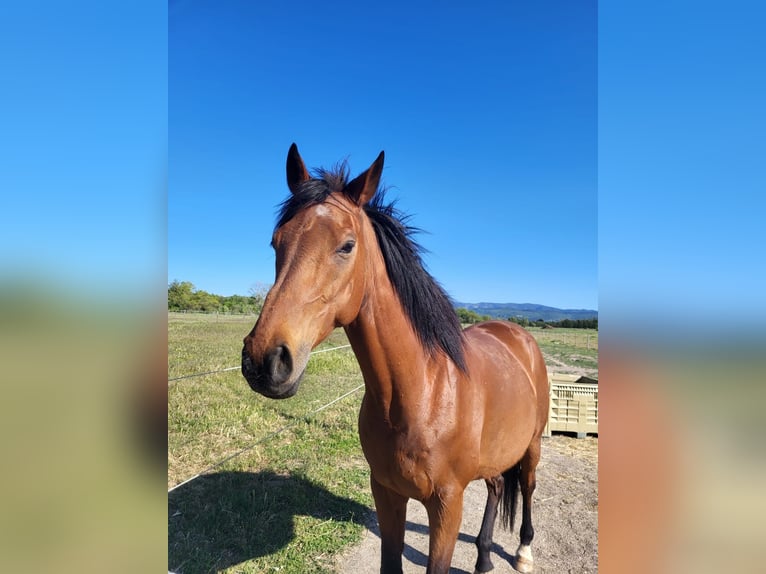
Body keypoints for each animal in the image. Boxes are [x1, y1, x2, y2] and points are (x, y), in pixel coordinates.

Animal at [243, 145, 548, 574]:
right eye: (275, 242)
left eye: (347, 245)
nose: (264, 360)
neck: (421, 393)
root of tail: (516, 334)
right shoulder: (386, 493)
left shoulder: (447, 506)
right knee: (497, 485)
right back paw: (484, 556)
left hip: (532, 446)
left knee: (527, 486)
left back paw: (522, 551)